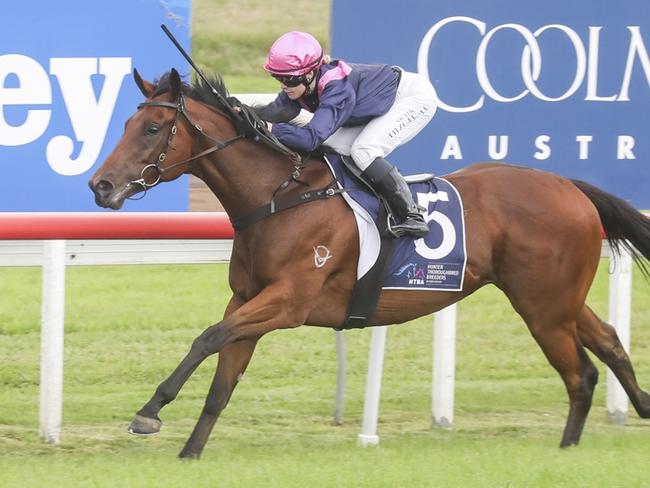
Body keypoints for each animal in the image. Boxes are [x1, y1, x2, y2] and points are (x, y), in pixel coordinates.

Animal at [90, 67, 648, 458]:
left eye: (153, 128)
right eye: (128, 122)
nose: (101, 184)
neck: (279, 195)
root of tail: (568, 186)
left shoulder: (288, 302)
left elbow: (207, 337)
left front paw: (148, 413)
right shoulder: (247, 299)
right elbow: (222, 379)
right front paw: (189, 453)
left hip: (543, 307)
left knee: (579, 372)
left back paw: (571, 447)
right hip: (555, 299)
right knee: (605, 344)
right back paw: (629, 413)